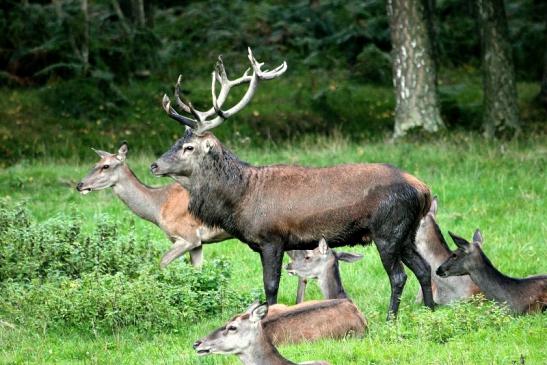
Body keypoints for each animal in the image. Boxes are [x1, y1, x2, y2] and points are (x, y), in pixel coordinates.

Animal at [76, 142, 229, 268]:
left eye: (106, 166)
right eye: (95, 164)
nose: (80, 185)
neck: (159, 206)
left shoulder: (188, 236)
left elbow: (162, 262)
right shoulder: (197, 244)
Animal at [152, 49, 434, 318]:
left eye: (189, 147)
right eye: (175, 142)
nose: (154, 165)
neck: (240, 198)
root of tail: (424, 190)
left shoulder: (272, 238)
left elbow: (270, 286)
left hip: (388, 228)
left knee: (398, 276)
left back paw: (391, 318)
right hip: (407, 232)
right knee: (424, 268)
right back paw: (431, 310)